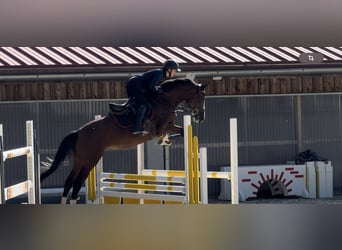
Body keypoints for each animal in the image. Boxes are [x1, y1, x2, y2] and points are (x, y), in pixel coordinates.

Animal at [39, 78, 206, 203]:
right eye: (202, 97)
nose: (200, 117)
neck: (165, 99)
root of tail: (78, 132)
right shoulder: (162, 127)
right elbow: (178, 131)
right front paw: (165, 140)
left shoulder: (167, 126)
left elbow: (181, 131)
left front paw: (165, 141)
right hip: (90, 160)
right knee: (77, 183)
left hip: (79, 160)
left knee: (68, 182)